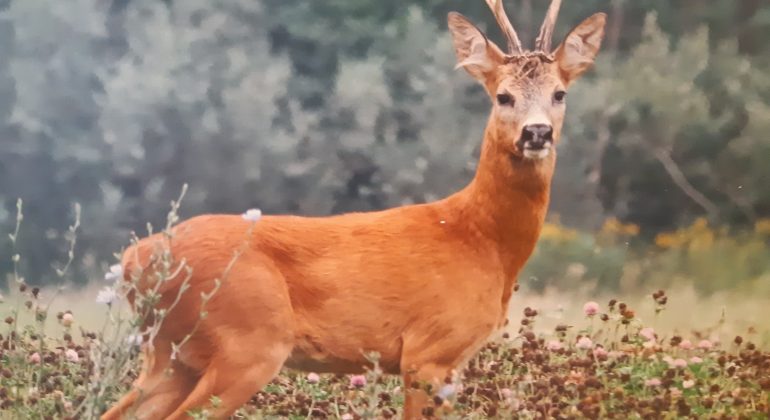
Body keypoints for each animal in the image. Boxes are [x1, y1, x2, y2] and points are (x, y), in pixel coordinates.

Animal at [103, 1, 608, 418]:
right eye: (503, 96)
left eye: (560, 93)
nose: (537, 133)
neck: (481, 239)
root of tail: (135, 258)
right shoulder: (427, 352)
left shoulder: (450, 364)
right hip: (245, 341)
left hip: (169, 354)